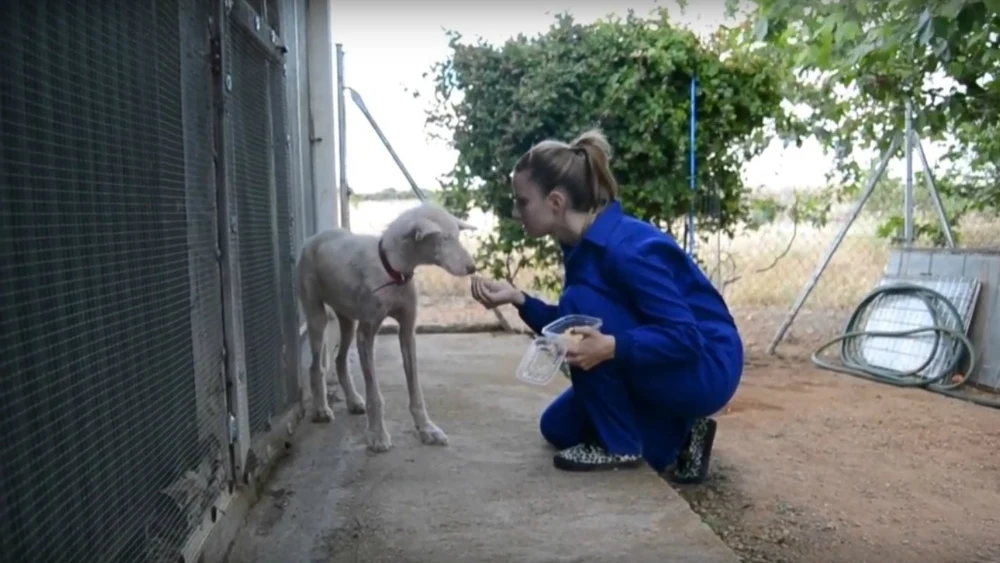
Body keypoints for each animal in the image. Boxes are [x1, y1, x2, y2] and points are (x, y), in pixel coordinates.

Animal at [294, 203, 478, 454]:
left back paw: (353, 400)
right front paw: (377, 434)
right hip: (316, 316)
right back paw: (321, 409)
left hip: (348, 320)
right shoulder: (366, 334)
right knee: (316, 366)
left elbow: (416, 390)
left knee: (340, 360)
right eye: (445, 238)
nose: (473, 268)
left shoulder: (407, 333)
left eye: (457, 237)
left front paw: (427, 429)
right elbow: (375, 395)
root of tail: (315, 237)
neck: (393, 269)